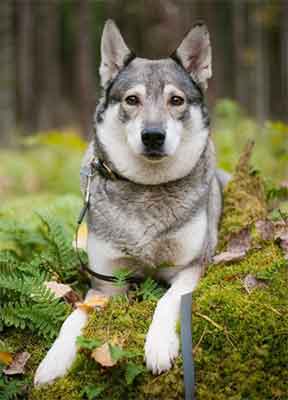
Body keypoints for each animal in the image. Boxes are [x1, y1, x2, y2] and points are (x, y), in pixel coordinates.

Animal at [34, 18, 225, 384]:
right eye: (132, 100)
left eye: (176, 100)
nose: (152, 136)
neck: (146, 188)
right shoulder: (106, 283)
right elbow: (75, 316)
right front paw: (54, 360)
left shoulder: (191, 267)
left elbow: (167, 300)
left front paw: (159, 345)